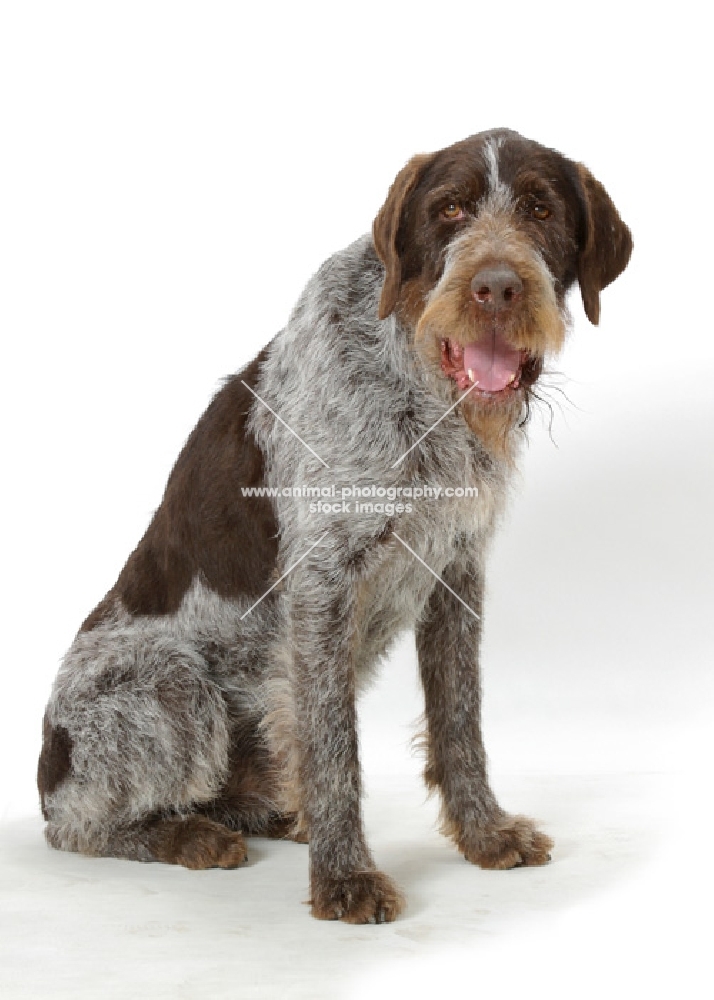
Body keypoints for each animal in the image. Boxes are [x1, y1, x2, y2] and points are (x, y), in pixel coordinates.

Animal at [37, 131, 628, 920]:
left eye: (540, 208)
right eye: (450, 209)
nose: (497, 288)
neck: (420, 389)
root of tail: (45, 773)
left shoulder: (456, 569)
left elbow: (459, 718)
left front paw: (482, 832)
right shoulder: (324, 580)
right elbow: (334, 742)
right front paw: (344, 877)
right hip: (167, 685)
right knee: (80, 826)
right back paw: (186, 836)